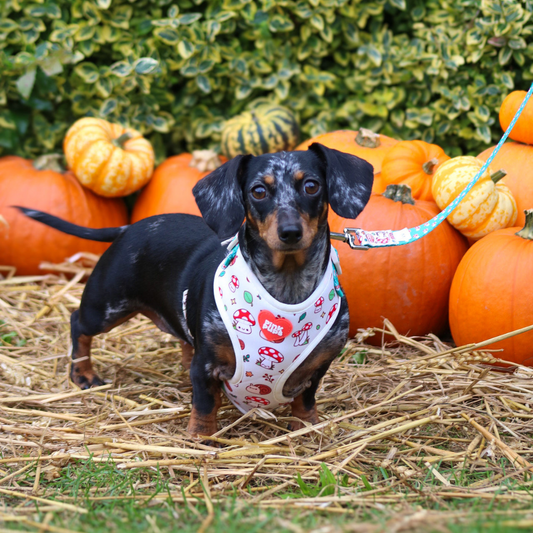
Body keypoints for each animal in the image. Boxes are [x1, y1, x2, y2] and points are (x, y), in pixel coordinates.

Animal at [18, 142, 372, 436]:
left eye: (311, 185)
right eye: (258, 191)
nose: (290, 232)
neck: (286, 285)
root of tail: (129, 227)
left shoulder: (319, 367)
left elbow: (306, 400)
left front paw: (307, 428)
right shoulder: (206, 366)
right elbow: (205, 403)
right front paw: (200, 437)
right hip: (106, 307)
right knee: (78, 323)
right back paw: (83, 373)